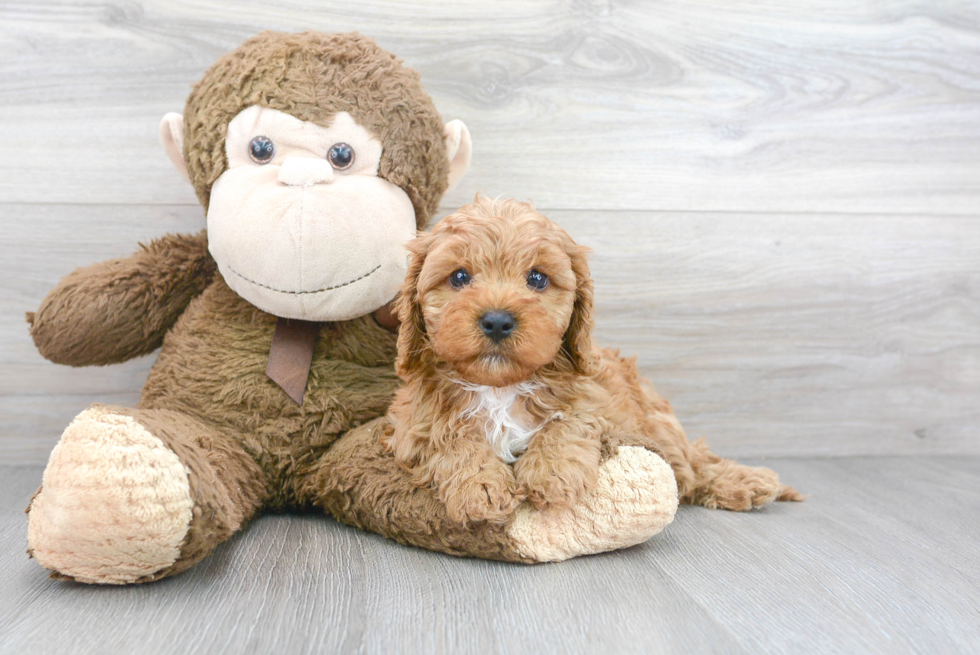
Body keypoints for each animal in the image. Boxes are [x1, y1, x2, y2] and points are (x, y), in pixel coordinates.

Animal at [378, 197, 800, 524]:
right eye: (459, 277)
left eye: (537, 279)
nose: (497, 320)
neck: (500, 388)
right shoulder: (410, 422)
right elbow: (449, 437)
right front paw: (481, 487)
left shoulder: (600, 400)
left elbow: (571, 419)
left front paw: (551, 472)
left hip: (658, 423)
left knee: (693, 466)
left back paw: (746, 483)